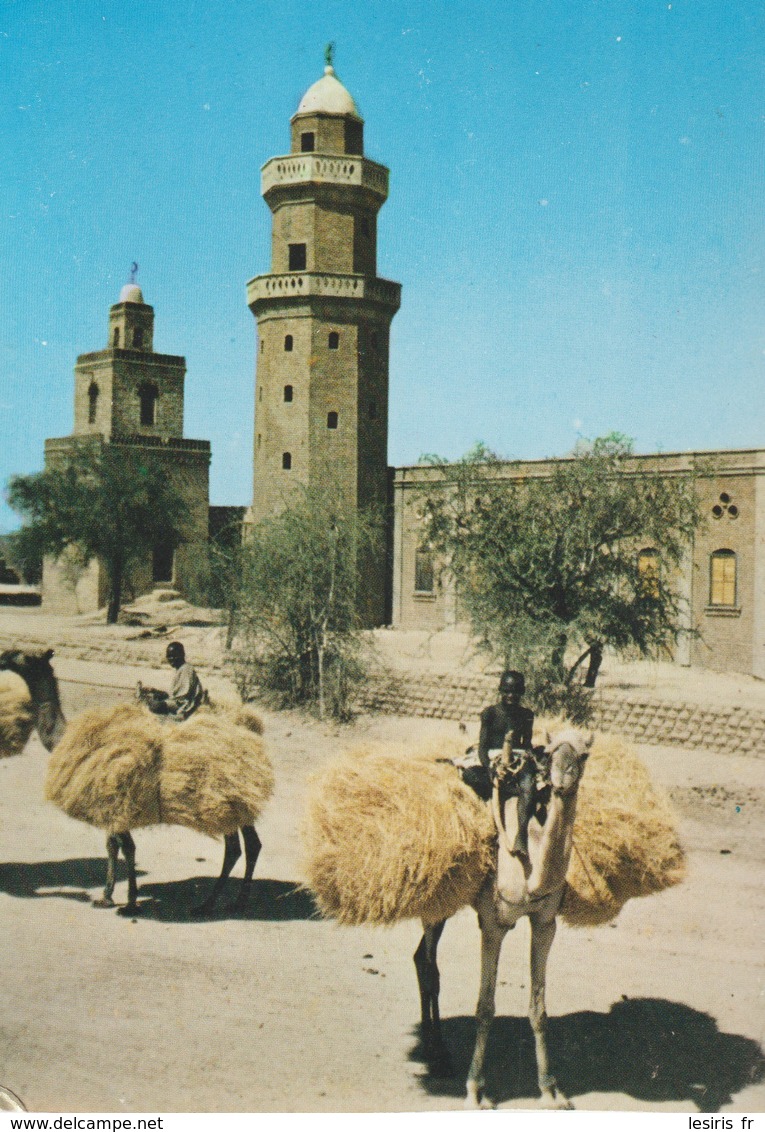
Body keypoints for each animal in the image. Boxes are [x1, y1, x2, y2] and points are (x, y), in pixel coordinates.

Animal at [0, 647, 273, 919]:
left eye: (23, 655)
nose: (2, 657)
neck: (65, 738)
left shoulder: (116, 803)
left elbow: (127, 847)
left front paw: (129, 903)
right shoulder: (109, 807)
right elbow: (112, 846)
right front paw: (107, 896)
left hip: (222, 804)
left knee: (236, 847)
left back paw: (212, 903)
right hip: (238, 805)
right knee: (250, 844)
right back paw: (232, 901)